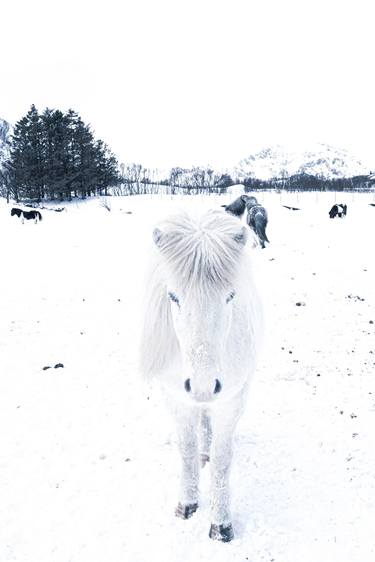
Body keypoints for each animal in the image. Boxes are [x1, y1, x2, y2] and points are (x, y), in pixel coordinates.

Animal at [139, 208, 264, 540]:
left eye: (230, 296)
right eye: (173, 297)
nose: (203, 385)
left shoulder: (232, 399)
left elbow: (222, 459)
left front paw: (221, 524)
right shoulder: (174, 397)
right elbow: (186, 450)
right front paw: (188, 503)